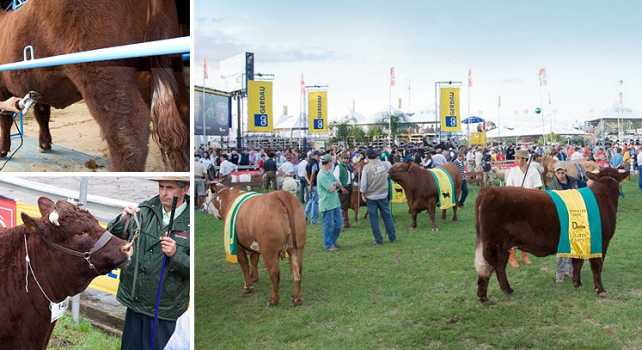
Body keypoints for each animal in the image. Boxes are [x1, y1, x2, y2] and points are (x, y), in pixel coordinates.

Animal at [472, 168, 628, 302]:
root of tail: (489, 190)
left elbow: (577, 263)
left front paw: (577, 283)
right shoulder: (601, 241)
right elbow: (597, 266)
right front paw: (600, 290)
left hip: (502, 246)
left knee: (498, 266)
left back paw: (506, 290)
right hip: (493, 243)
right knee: (489, 266)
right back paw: (484, 297)